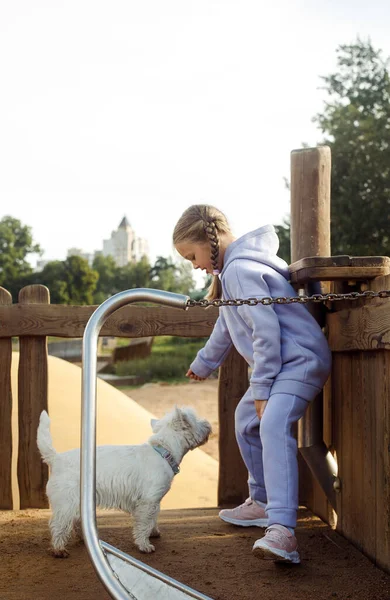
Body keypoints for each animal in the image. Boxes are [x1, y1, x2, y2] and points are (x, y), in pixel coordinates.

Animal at [37, 408, 210, 556]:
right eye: (196, 419)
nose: (208, 424)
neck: (164, 452)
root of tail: (56, 459)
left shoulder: (154, 501)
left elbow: (154, 518)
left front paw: (154, 532)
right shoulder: (148, 501)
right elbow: (144, 524)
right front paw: (144, 545)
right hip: (66, 502)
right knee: (58, 524)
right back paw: (59, 549)